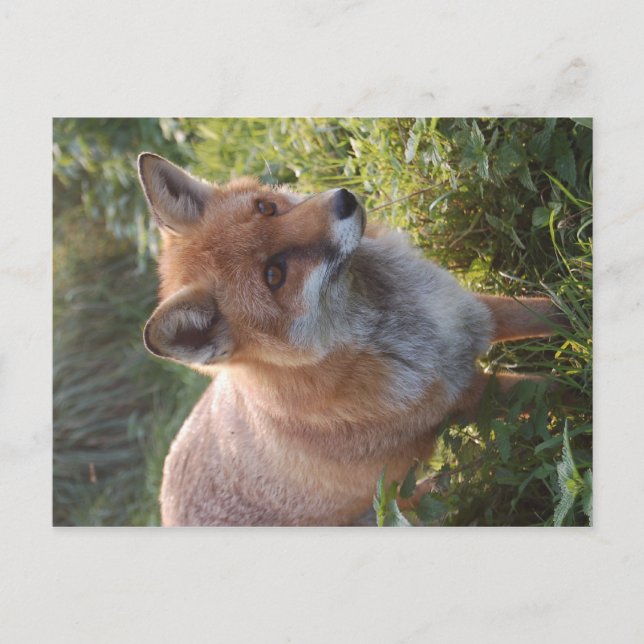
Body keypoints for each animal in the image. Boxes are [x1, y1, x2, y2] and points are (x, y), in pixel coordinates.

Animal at [137, 152, 565, 526]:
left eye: (266, 208)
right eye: (275, 275)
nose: (344, 200)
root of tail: (164, 511)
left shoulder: (472, 315)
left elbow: (551, 311)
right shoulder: (468, 399)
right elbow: (557, 391)